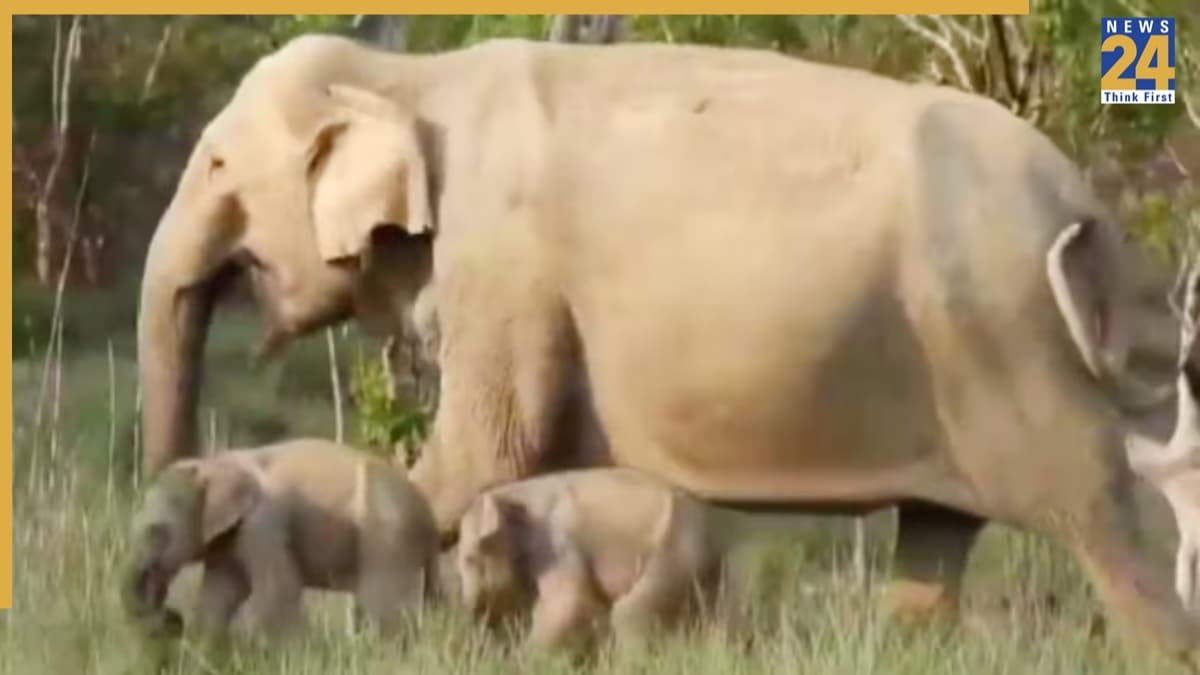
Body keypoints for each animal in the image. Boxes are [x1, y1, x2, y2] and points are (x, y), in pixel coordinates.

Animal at [122, 438, 439, 638]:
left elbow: (280, 588)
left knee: (382, 604)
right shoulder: (228, 542)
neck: (214, 463)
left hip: (388, 537)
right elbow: (218, 594)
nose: (171, 617)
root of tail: (429, 515)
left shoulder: (264, 523)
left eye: (157, 531)